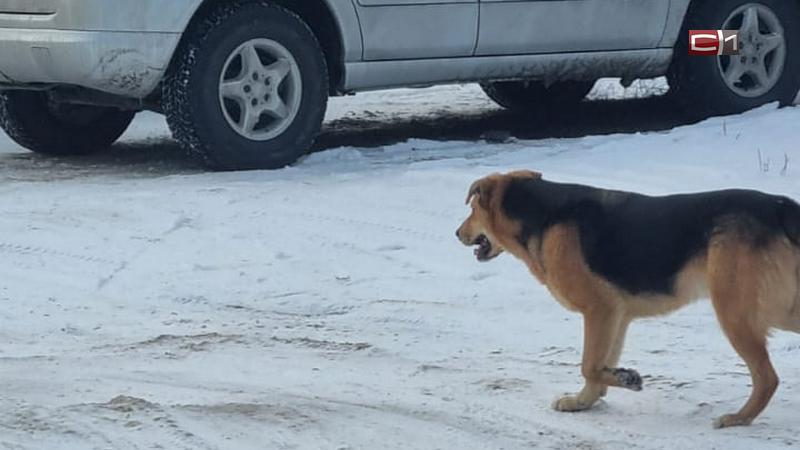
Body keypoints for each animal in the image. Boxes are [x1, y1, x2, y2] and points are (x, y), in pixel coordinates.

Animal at [456, 171, 800, 428]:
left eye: (471, 210)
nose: (457, 233)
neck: (541, 215)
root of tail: (780, 207)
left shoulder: (599, 311)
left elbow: (589, 365)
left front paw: (626, 378)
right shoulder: (616, 317)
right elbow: (596, 369)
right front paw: (584, 401)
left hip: (736, 314)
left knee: (767, 378)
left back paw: (739, 418)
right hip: (773, 309)